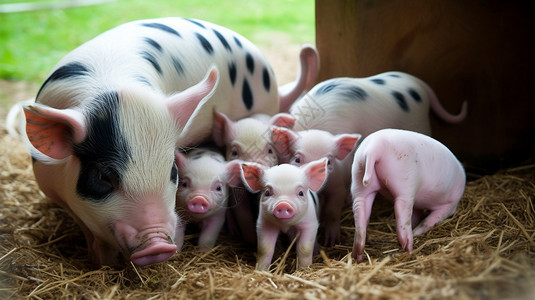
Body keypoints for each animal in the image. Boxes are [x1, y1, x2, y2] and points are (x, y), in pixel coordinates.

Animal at [352, 129, 464, 262]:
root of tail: (374, 147)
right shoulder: (451, 205)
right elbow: (432, 219)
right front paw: (417, 231)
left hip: (359, 176)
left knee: (360, 209)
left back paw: (357, 255)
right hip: (406, 181)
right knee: (403, 208)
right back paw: (409, 247)